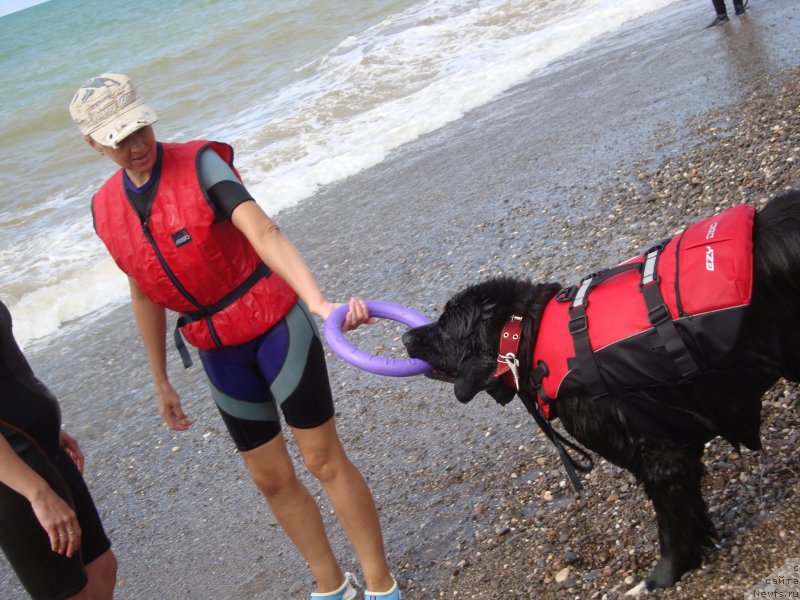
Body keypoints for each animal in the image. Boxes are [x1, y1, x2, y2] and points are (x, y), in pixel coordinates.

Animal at [406, 191, 800, 592]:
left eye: (443, 325)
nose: (405, 336)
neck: (525, 335)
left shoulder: (661, 455)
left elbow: (673, 525)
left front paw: (662, 577)